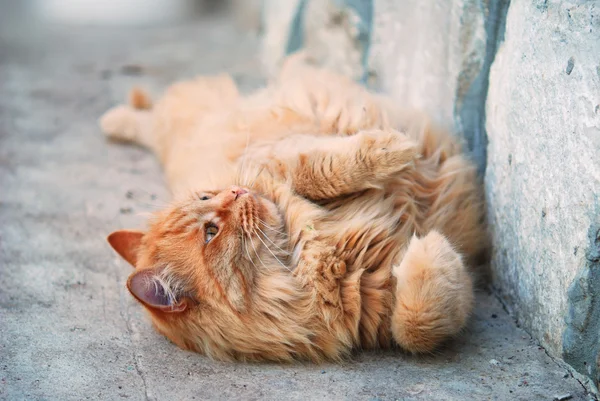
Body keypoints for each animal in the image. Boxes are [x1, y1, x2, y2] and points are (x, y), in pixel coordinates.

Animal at [99, 54, 488, 360]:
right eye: (210, 232)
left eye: (206, 197)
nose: (236, 192)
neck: (307, 254)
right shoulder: (373, 310)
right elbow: (416, 326)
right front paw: (430, 247)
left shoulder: (273, 161)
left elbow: (321, 168)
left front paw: (391, 148)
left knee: (153, 109)